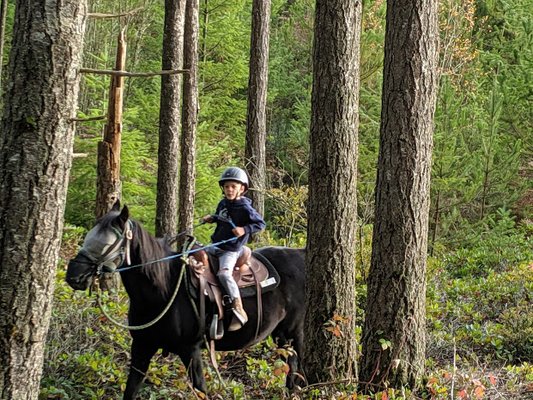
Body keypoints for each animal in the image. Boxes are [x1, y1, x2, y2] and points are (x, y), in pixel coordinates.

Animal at [65, 205, 306, 398]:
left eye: (107, 242)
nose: (72, 275)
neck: (163, 290)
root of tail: (301, 253)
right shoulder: (142, 346)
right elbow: (131, 389)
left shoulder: (190, 350)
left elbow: (200, 389)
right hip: (280, 334)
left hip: (292, 331)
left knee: (295, 363)